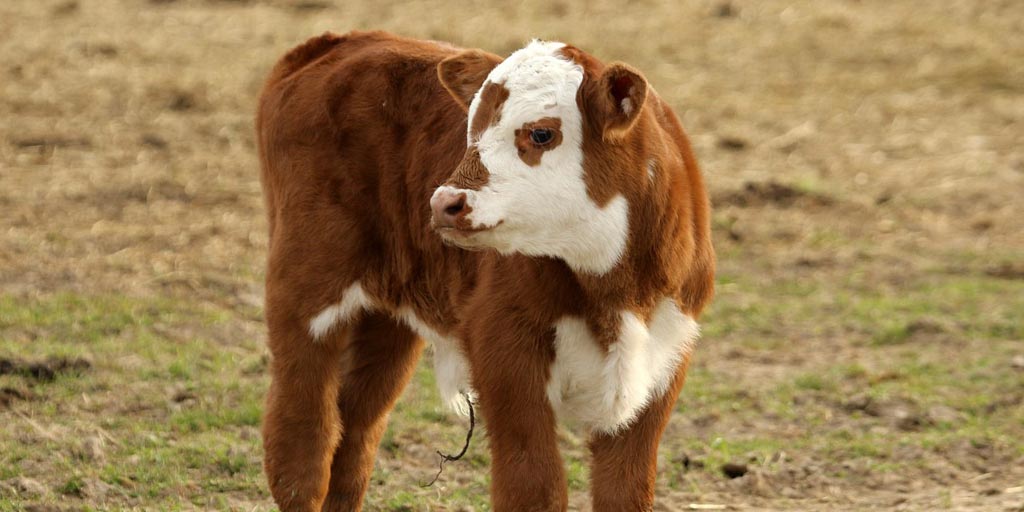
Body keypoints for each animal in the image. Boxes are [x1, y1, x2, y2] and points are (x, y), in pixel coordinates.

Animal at [256, 30, 715, 512]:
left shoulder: (664, 358)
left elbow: (626, 489)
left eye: (541, 132)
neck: (616, 290)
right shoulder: (503, 345)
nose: (444, 202)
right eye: (471, 130)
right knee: (303, 440)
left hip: (388, 318)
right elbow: (533, 486)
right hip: (304, 285)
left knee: (356, 430)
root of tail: (337, 42)